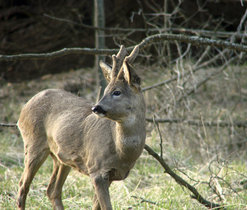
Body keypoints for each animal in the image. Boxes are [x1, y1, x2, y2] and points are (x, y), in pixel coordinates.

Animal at [16, 45, 147, 209]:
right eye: (105, 91)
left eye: (117, 92)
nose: (96, 107)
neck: (121, 152)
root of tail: (25, 106)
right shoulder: (97, 170)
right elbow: (106, 206)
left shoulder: (109, 175)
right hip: (33, 143)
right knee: (23, 186)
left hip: (60, 156)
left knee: (52, 190)